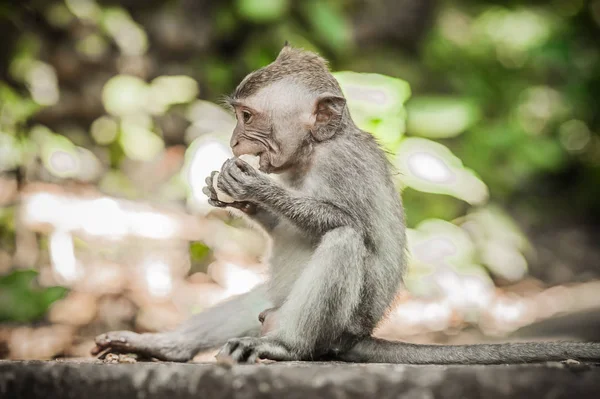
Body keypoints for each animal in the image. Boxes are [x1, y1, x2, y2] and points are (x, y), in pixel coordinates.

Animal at [91, 44, 600, 366]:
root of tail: (359, 336)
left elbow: (349, 224)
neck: (313, 151)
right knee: (258, 299)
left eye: (247, 116)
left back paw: (285, 347)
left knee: (343, 242)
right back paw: (168, 348)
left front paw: (254, 186)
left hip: (336, 327)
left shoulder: (343, 166)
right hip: (272, 306)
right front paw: (229, 192)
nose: (234, 142)